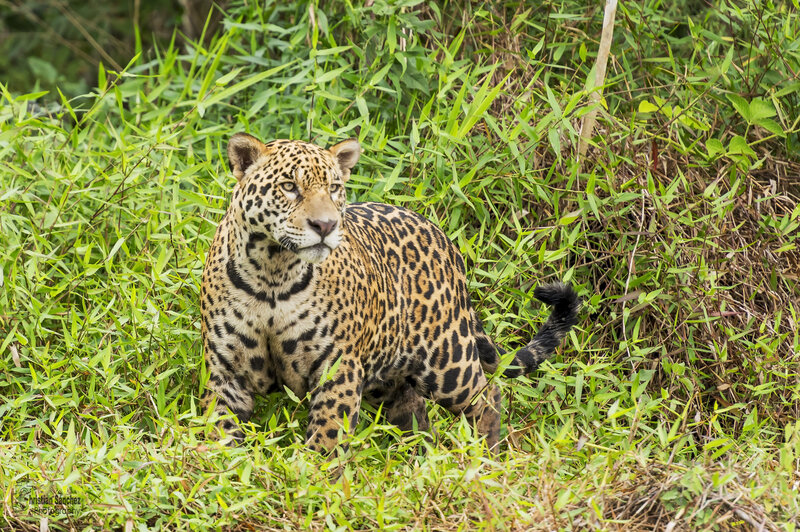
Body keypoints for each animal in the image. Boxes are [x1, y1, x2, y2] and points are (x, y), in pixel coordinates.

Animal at [200, 132, 580, 452]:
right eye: (289, 186)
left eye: (334, 188)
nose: (325, 225)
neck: (273, 274)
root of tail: (446, 240)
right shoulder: (224, 371)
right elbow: (220, 434)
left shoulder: (337, 367)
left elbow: (328, 436)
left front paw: (316, 480)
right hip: (389, 378)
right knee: (414, 412)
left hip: (447, 361)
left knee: (487, 394)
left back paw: (484, 456)